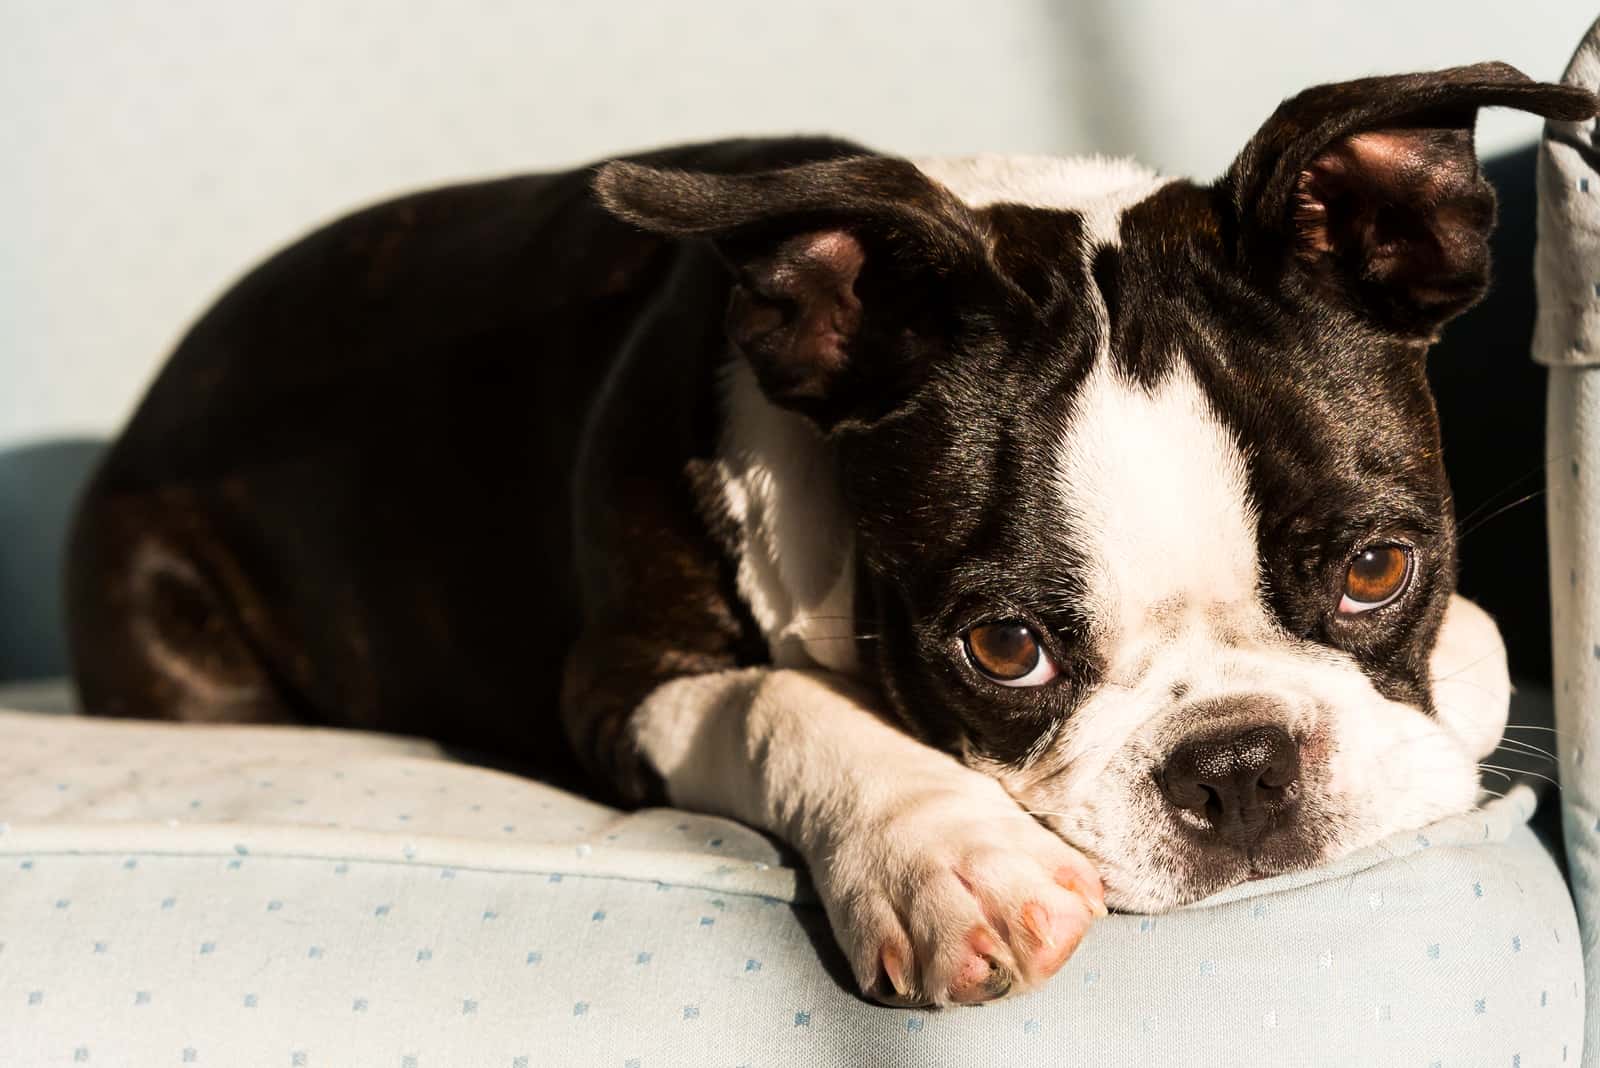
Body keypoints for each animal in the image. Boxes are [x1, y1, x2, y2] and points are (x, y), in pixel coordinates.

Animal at [68, 68, 1593, 1010]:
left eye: (1377, 570)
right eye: (1004, 649)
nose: (1237, 766)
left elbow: (1480, 655)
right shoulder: (624, 679)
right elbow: (780, 703)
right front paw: (950, 861)